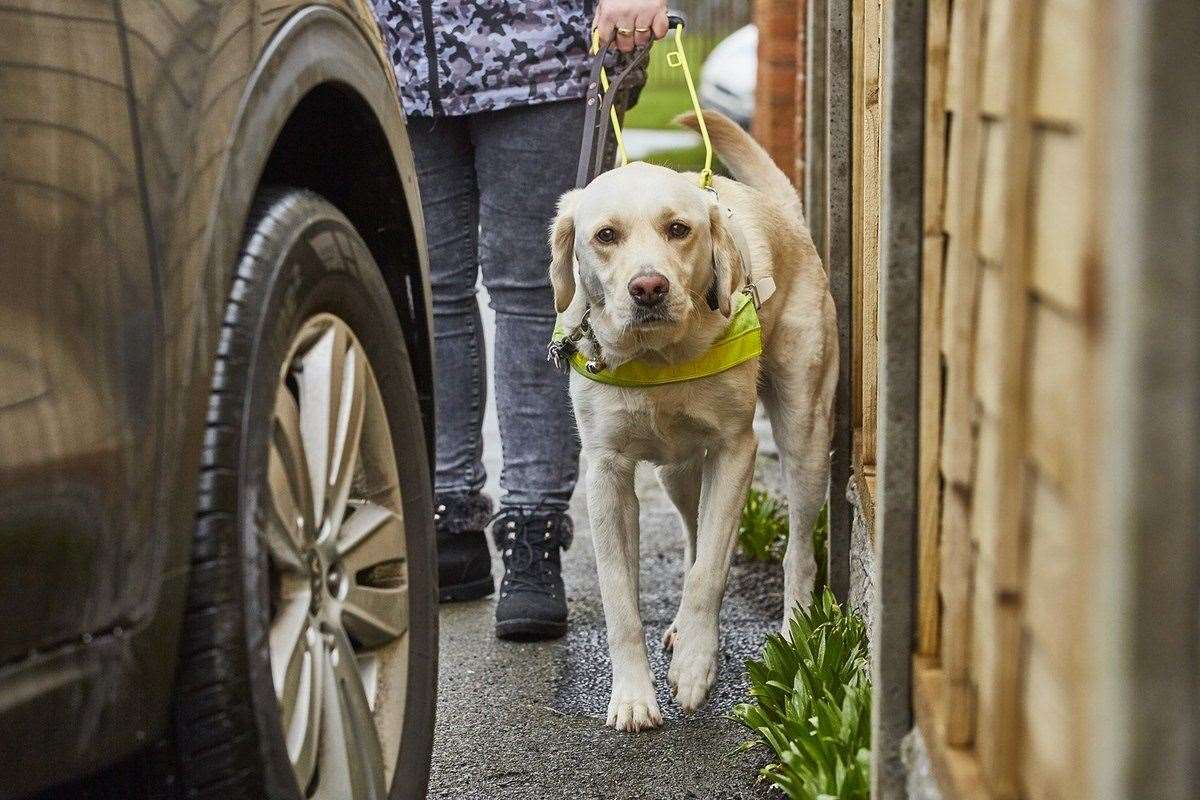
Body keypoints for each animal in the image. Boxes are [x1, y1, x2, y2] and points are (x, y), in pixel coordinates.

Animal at [547, 112, 835, 734]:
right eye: (605, 236)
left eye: (678, 229)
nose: (648, 288)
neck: (659, 357)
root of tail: (785, 212)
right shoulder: (607, 473)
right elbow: (621, 598)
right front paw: (633, 695)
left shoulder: (735, 451)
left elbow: (710, 573)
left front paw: (697, 667)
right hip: (675, 471)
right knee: (693, 533)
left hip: (804, 437)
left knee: (796, 550)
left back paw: (793, 630)